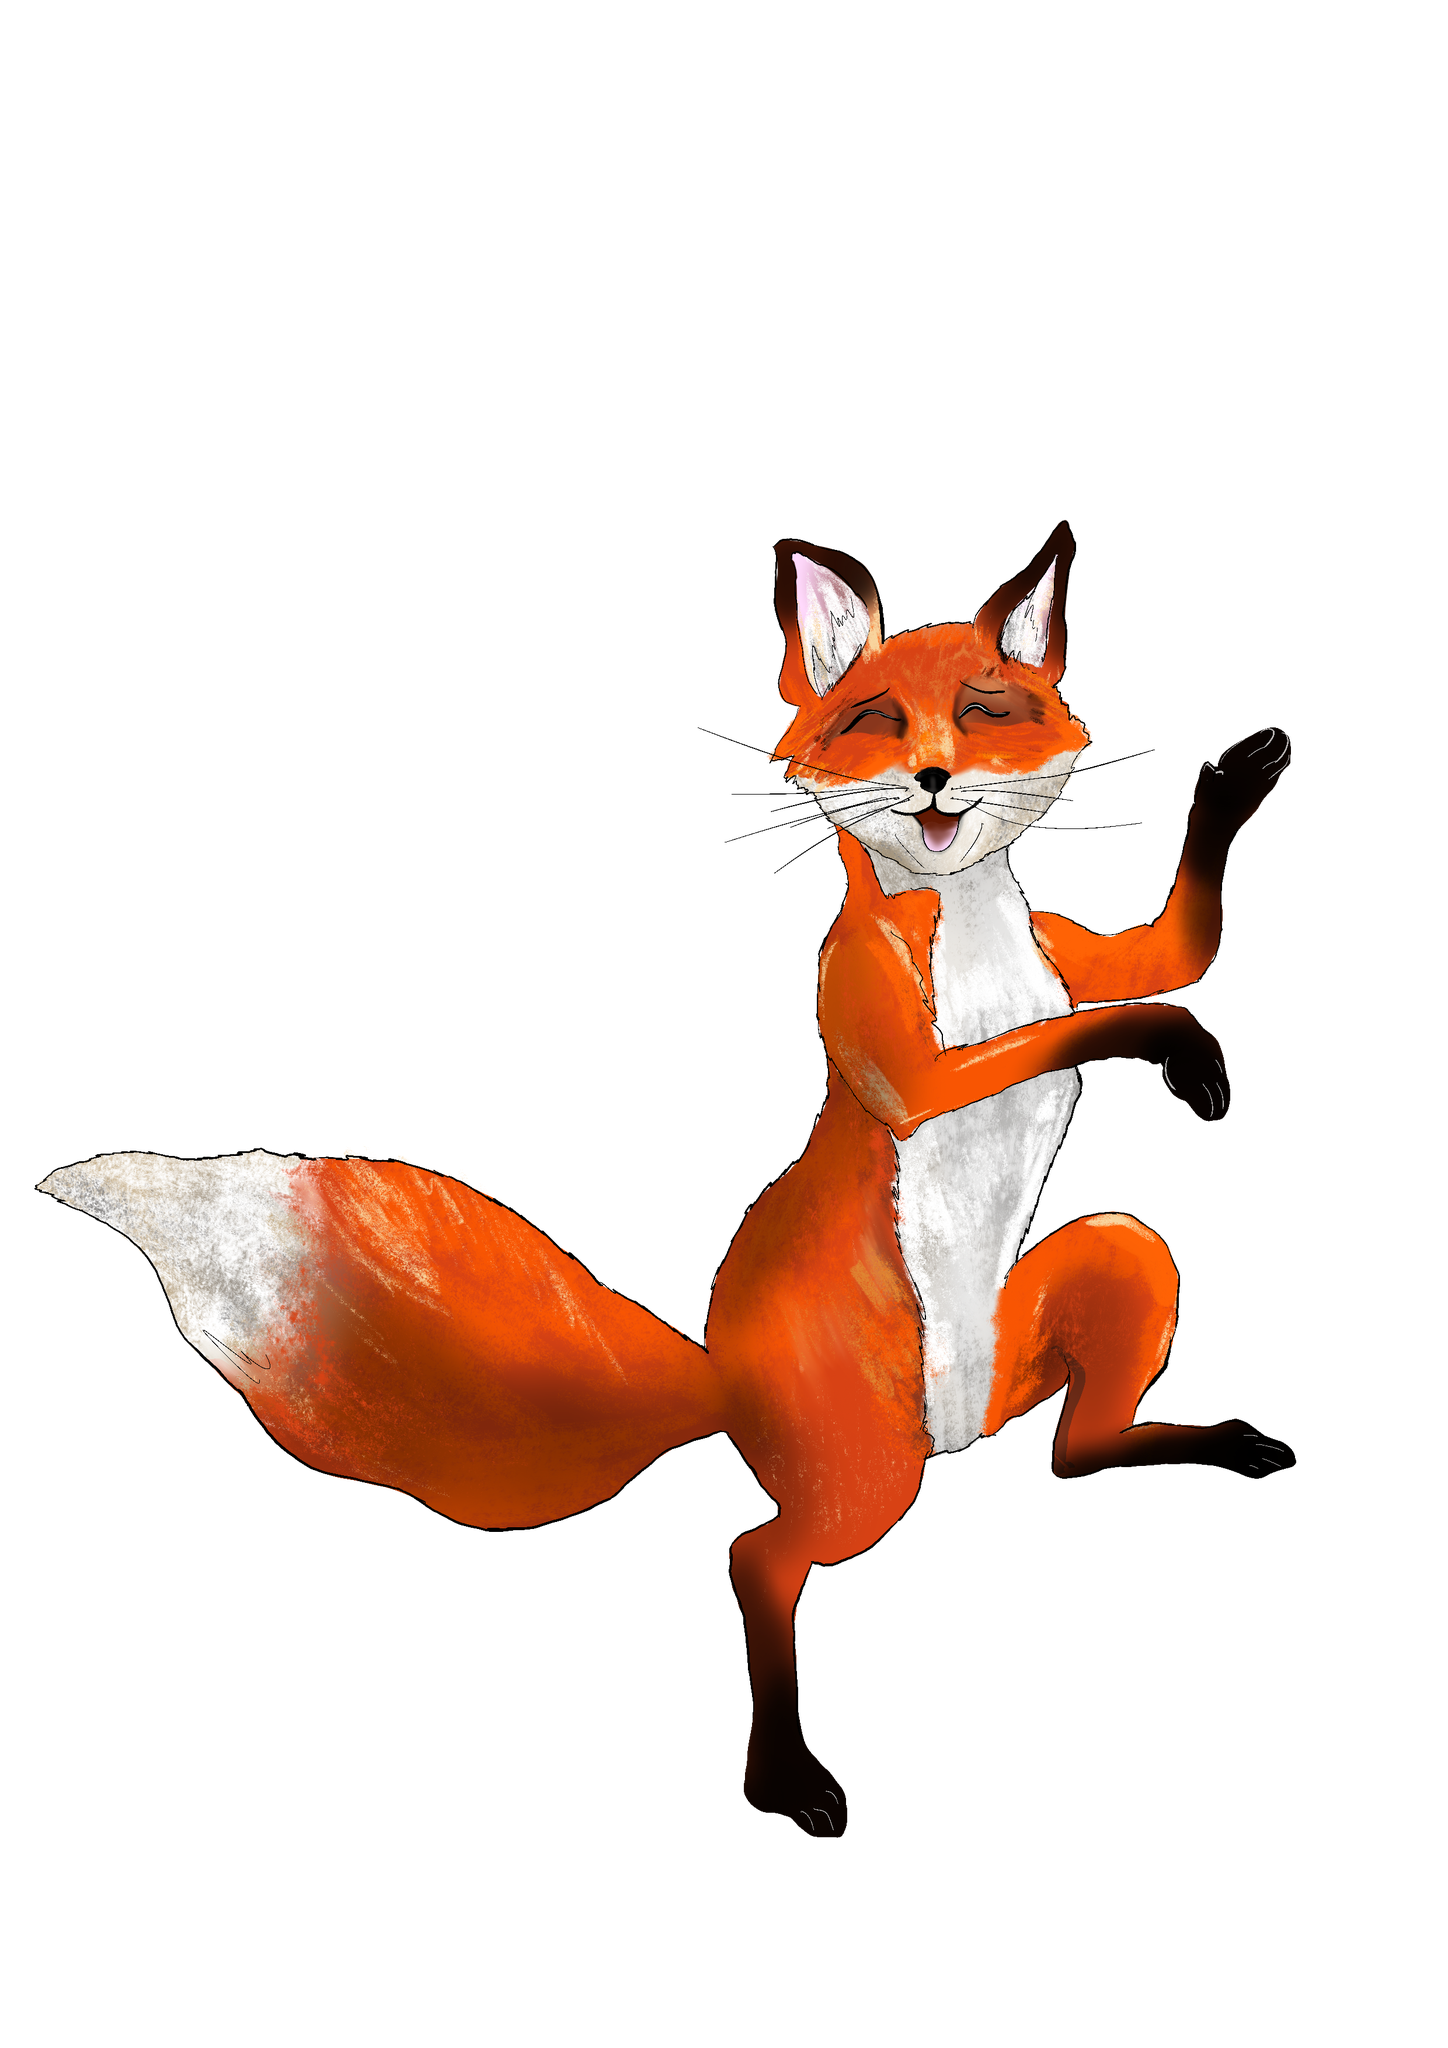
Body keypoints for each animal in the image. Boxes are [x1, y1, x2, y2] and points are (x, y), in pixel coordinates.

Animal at [38, 523, 1289, 1837]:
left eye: (981, 709)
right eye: (877, 721)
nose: (934, 781)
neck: (971, 930)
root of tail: (724, 1380)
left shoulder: (1066, 948)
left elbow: (1166, 955)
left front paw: (1229, 793)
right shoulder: (879, 1027)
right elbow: (1044, 1038)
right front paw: (1169, 1043)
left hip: (1097, 1278)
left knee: (1068, 1451)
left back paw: (1167, 1448)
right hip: (867, 1476)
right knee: (759, 1557)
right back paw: (780, 1771)